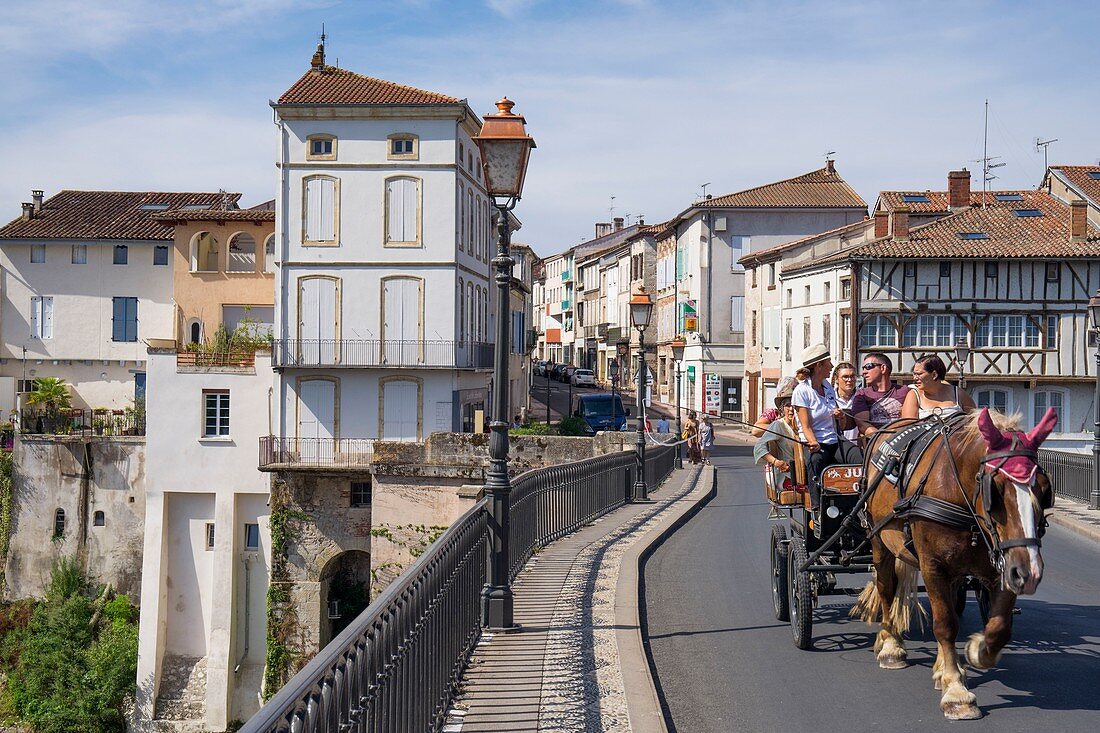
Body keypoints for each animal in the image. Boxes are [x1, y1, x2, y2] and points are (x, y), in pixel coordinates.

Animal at [849, 407, 1056, 717]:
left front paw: (975, 652)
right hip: (879, 541)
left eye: (1044, 489)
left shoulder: (1004, 563)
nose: (1029, 573)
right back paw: (890, 645)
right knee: (887, 588)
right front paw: (957, 692)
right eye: (995, 490)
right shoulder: (933, 566)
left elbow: (999, 626)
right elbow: (945, 624)